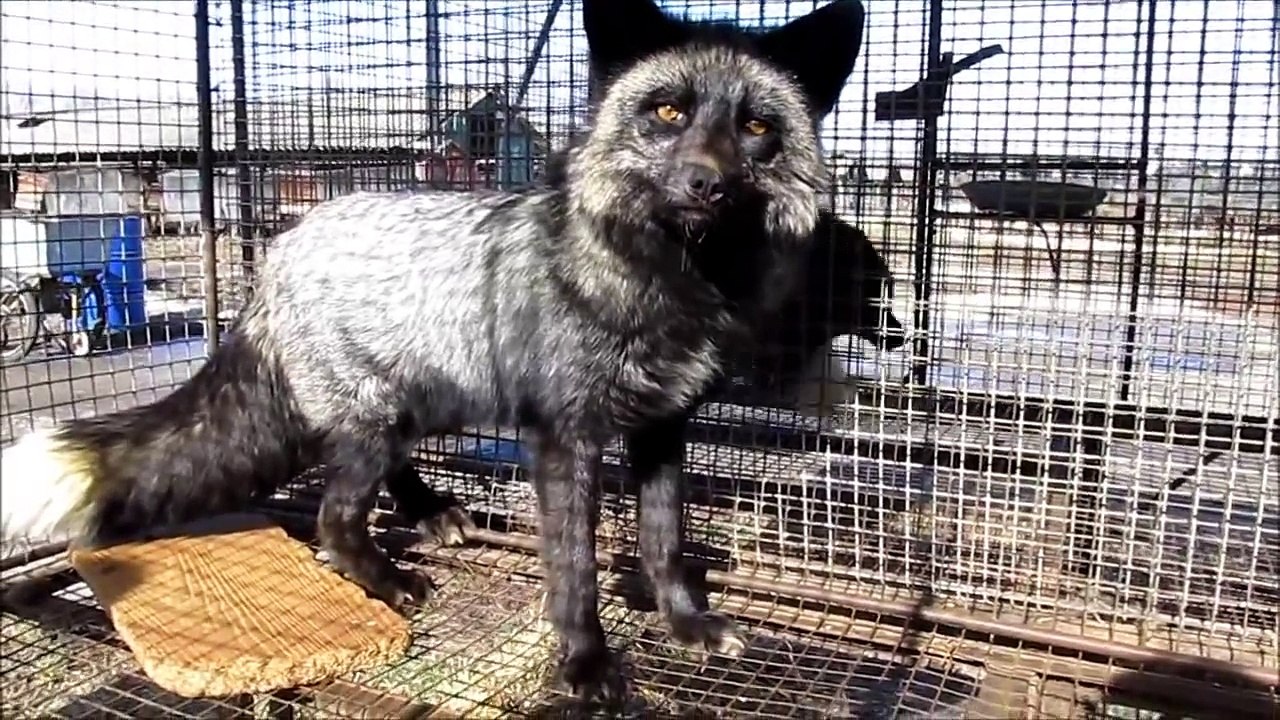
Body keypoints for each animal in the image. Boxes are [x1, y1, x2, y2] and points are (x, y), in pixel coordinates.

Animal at [0, 0, 866, 701]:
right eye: (666, 110)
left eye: (756, 127)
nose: (705, 184)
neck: (662, 280)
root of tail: (277, 254)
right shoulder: (564, 437)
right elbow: (575, 568)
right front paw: (585, 665)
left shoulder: (664, 424)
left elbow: (664, 539)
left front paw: (685, 624)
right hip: (374, 417)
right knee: (333, 514)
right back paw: (388, 580)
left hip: (414, 402)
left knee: (375, 478)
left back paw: (427, 513)